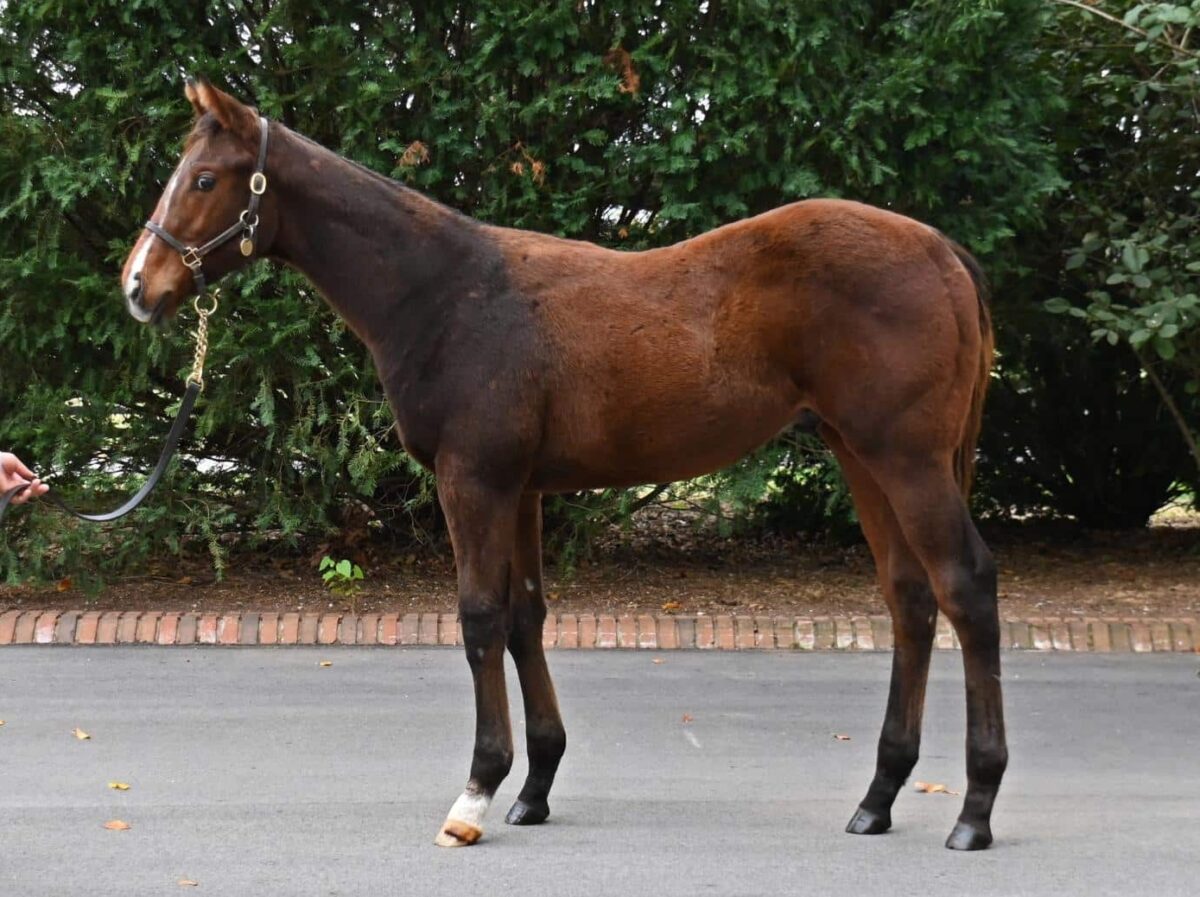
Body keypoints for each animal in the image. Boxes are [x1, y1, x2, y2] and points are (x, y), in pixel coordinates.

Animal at [121, 80, 1003, 853]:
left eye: (204, 179)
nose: (137, 287)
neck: (445, 294)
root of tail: (940, 250)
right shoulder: (521, 488)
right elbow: (525, 616)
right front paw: (535, 786)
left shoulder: (472, 479)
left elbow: (479, 618)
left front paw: (476, 792)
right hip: (860, 453)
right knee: (909, 597)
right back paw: (877, 799)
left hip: (908, 458)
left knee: (964, 585)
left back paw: (974, 809)